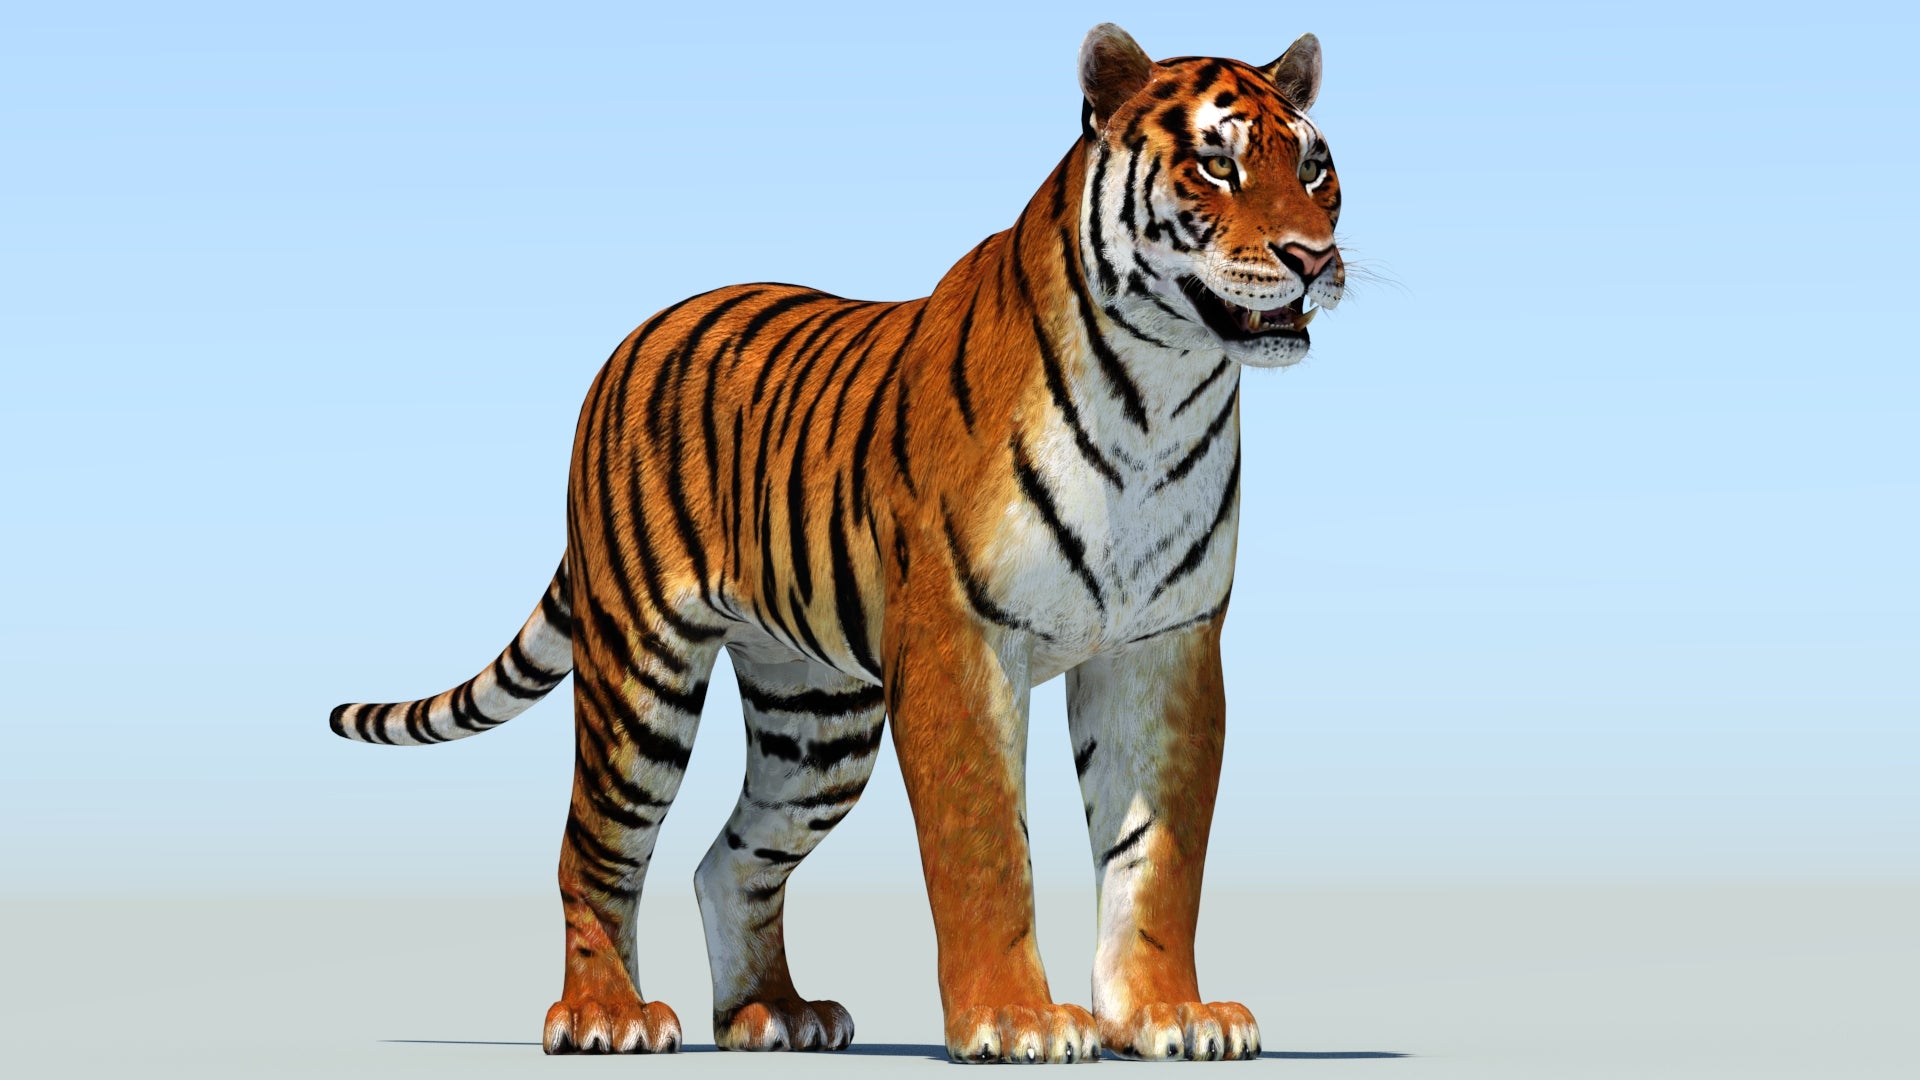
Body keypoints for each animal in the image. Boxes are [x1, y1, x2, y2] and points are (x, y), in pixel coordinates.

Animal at [329, 23, 1344, 1064]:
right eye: (1216, 164)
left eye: (1315, 168)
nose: (1313, 257)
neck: (1160, 395)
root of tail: (635, 337)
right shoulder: (959, 644)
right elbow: (985, 844)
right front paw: (1014, 1018)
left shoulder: (1166, 647)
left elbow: (1157, 855)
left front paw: (1166, 1013)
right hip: (640, 677)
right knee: (595, 849)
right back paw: (606, 1014)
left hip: (815, 718)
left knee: (729, 859)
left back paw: (772, 1012)